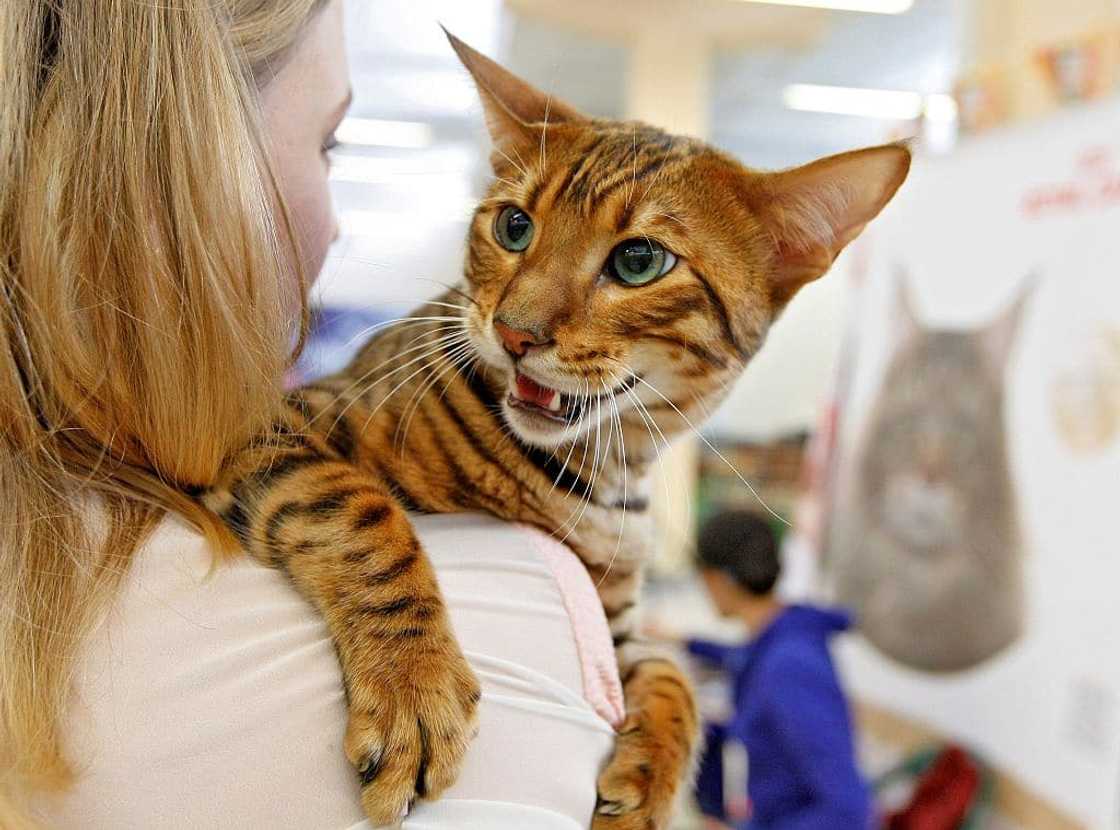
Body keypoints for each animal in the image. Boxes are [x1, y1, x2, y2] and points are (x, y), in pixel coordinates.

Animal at [203, 32, 909, 828]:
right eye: (514, 226)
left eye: (639, 261)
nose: (515, 332)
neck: (601, 472)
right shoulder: (262, 421)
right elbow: (354, 507)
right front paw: (414, 682)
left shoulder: (617, 621)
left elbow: (671, 671)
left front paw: (649, 786)